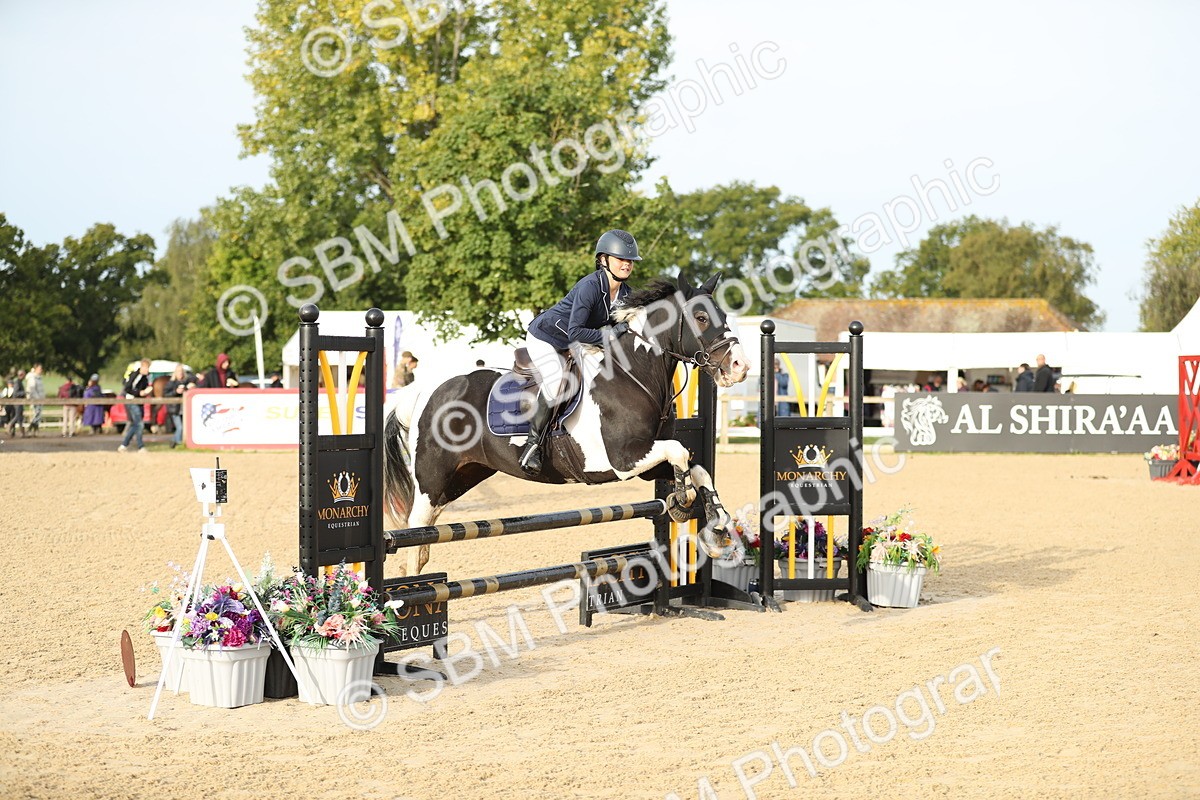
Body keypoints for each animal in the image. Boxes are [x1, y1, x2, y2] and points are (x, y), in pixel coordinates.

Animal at [383, 274, 751, 575]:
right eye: (701, 318)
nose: (740, 367)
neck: (633, 373)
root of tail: (425, 391)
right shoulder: (623, 460)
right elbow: (679, 452)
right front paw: (682, 500)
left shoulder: (645, 462)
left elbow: (696, 467)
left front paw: (716, 527)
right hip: (433, 476)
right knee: (416, 526)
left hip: (463, 475)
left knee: (427, 531)